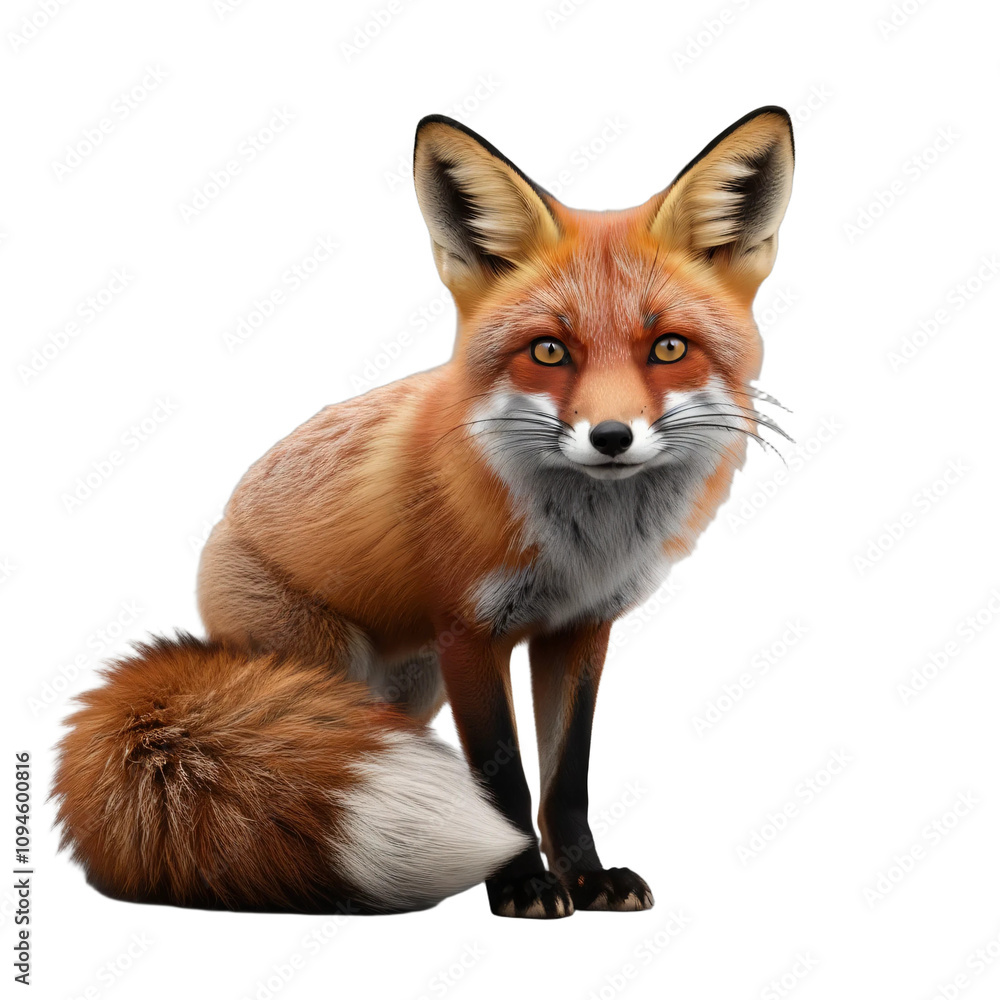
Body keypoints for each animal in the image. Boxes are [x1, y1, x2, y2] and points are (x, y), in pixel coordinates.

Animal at [53, 106, 795, 919]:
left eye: (667, 348)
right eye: (548, 351)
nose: (611, 437)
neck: (583, 544)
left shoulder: (579, 631)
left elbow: (566, 780)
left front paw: (587, 877)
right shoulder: (468, 633)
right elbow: (504, 783)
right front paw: (519, 881)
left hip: (406, 695)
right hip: (326, 675)